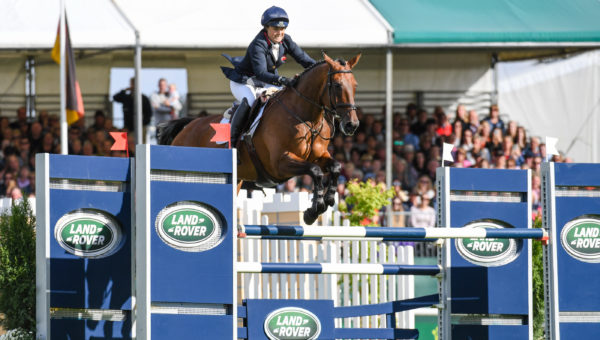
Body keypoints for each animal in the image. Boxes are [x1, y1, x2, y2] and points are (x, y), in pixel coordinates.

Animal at [157, 51, 358, 224]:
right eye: (337, 85)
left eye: (355, 85)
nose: (352, 125)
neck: (306, 118)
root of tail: (186, 127)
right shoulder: (280, 164)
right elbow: (315, 171)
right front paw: (313, 211)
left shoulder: (318, 156)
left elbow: (335, 167)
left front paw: (328, 199)